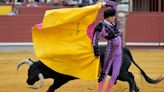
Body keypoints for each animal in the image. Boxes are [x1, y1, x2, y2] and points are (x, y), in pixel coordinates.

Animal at [17, 46, 163, 92]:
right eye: (28, 71)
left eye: (32, 73)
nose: (28, 81)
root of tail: (124, 49)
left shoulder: (62, 79)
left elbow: (52, 87)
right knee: (131, 75)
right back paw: (137, 89)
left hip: (119, 73)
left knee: (130, 77)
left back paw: (133, 90)